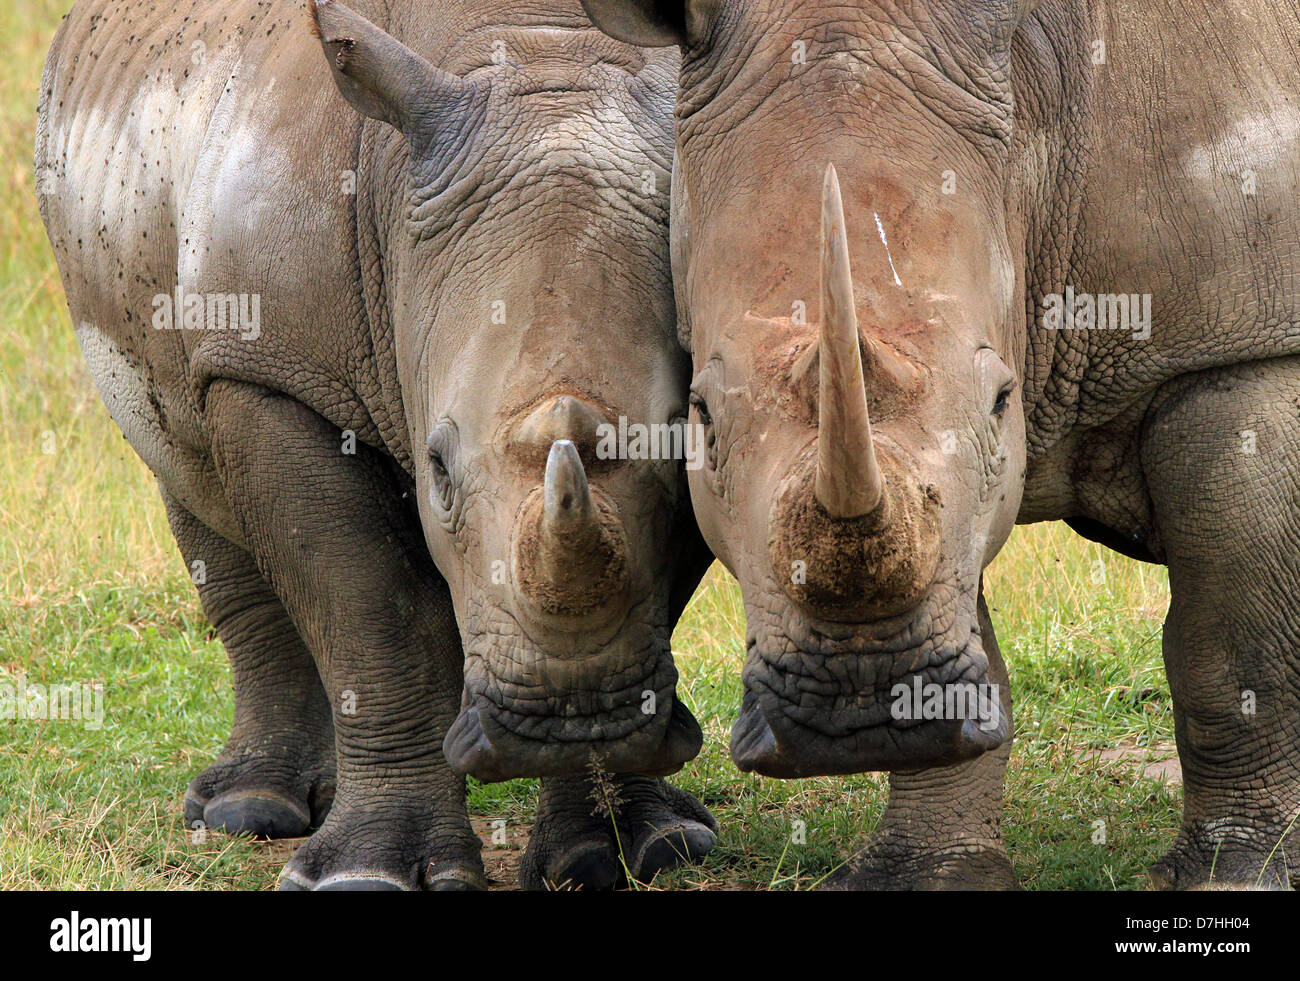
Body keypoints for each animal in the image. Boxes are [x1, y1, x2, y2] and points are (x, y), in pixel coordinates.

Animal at [35, 0, 717, 888]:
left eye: (681, 452)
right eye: (438, 470)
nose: (567, 720)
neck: (537, 49)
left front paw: (640, 847)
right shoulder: (274, 367)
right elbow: (372, 608)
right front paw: (367, 873)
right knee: (188, 481)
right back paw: (247, 812)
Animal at [587, 0, 1300, 888]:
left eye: (1000, 401)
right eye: (702, 417)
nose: (854, 709)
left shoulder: (1235, 346)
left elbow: (1231, 641)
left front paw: (1236, 869)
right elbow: (965, 601)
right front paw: (922, 869)